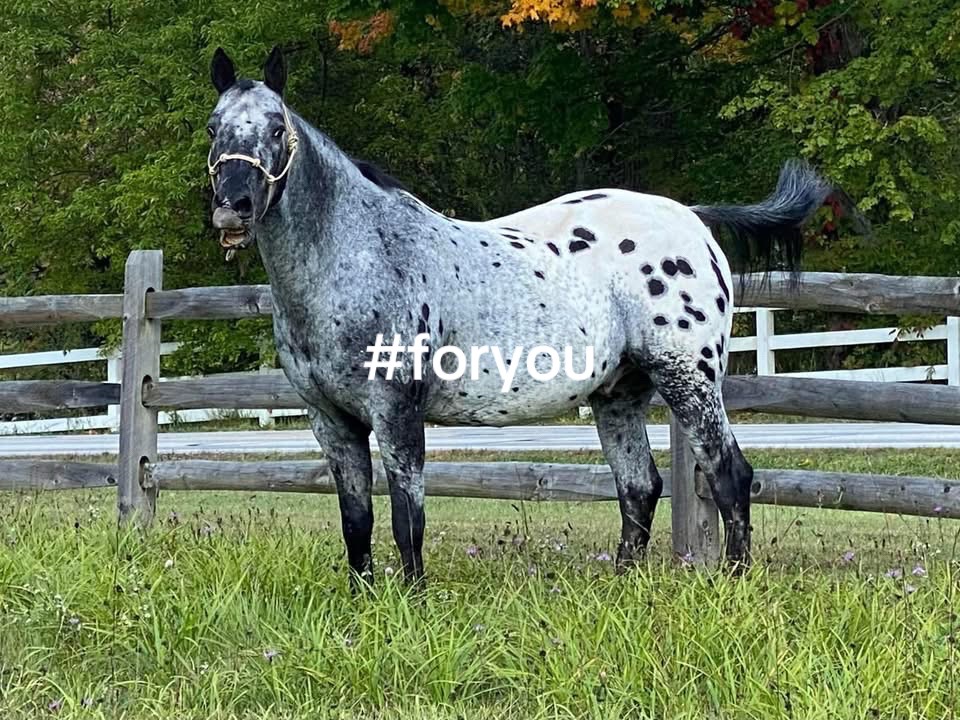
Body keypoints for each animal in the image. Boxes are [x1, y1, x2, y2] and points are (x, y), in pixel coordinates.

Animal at [205, 46, 830, 582]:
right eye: (213, 128)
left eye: (277, 127)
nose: (233, 208)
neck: (364, 253)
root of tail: (692, 219)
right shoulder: (331, 422)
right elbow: (356, 523)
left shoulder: (396, 412)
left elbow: (408, 519)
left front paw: (412, 602)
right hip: (620, 392)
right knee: (639, 486)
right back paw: (624, 586)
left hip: (688, 379)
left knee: (728, 474)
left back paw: (734, 581)